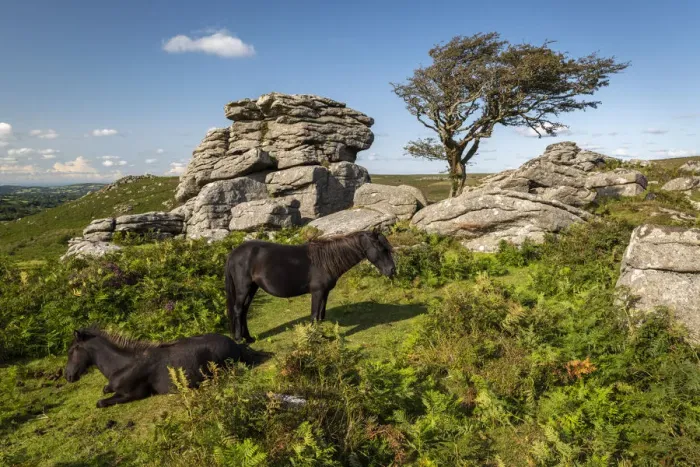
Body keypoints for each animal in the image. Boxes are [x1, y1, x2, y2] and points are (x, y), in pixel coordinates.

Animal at [64, 328, 268, 408]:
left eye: (72, 350)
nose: (67, 376)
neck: (123, 365)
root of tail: (236, 345)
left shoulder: (133, 395)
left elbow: (100, 402)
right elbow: (105, 390)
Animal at [224, 229, 396, 343]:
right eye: (381, 249)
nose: (392, 270)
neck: (326, 261)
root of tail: (233, 253)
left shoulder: (324, 293)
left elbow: (320, 316)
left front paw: (322, 337)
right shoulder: (317, 292)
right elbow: (314, 316)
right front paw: (315, 340)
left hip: (252, 288)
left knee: (244, 310)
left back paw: (248, 337)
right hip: (244, 288)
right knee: (238, 309)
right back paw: (239, 339)